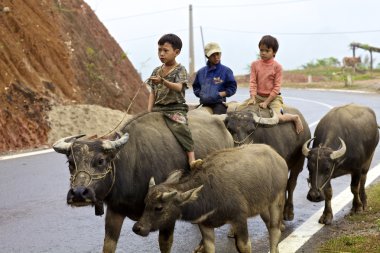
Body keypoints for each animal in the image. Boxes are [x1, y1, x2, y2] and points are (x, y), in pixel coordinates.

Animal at [52, 110, 233, 253]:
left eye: (100, 160)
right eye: (70, 163)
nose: (78, 193)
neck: (131, 166)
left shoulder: (168, 214)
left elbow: (165, 244)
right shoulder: (115, 210)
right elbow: (108, 246)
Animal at [132, 144, 286, 253]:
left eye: (159, 208)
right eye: (145, 203)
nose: (137, 228)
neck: (209, 192)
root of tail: (278, 158)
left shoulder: (239, 218)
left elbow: (244, 247)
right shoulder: (205, 225)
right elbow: (209, 248)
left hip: (277, 200)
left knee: (275, 230)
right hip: (263, 206)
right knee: (271, 226)